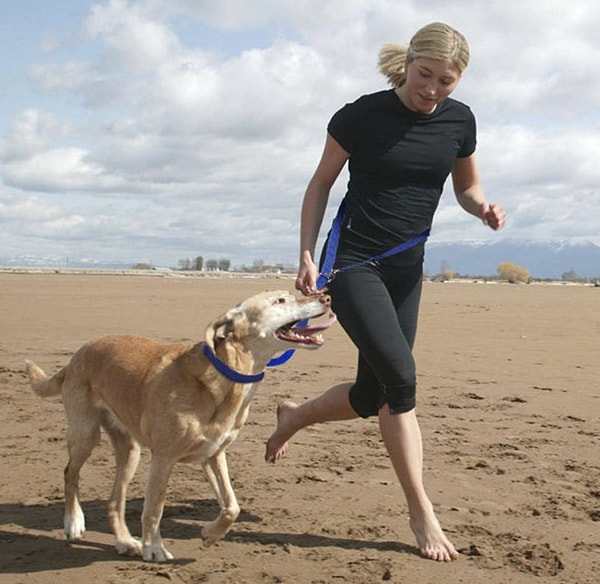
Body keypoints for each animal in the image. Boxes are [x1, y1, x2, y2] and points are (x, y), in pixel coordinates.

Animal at [25, 290, 336, 564]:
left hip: (130, 450)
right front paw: (154, 549)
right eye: (280, 300)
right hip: (85, 433)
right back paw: (74, 522)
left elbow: (232, 507)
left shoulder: (213, 455)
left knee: (114, 501)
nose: (326, 296)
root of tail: (76, 355)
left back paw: (125, 541)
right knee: (70, 473)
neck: (226, 375)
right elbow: (154, 509)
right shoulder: (164, 457)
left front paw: (210, 534)